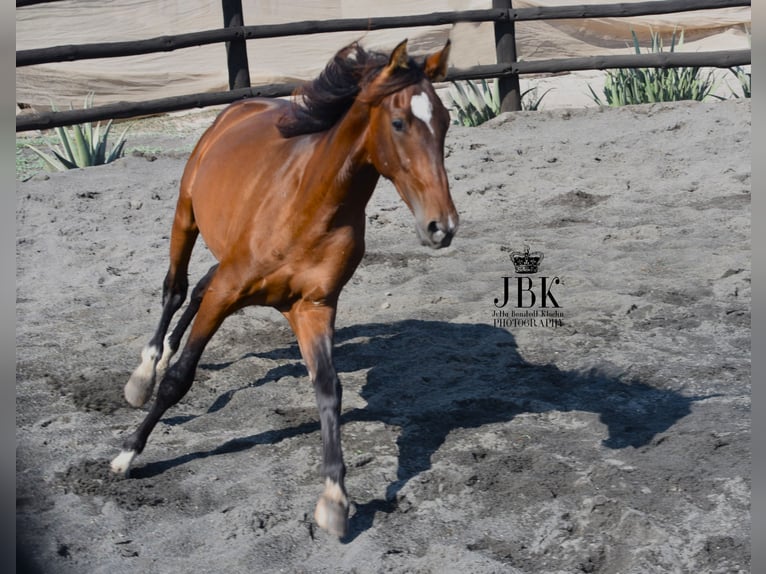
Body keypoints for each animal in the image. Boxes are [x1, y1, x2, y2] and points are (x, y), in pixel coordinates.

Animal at [110, 40, 460, 540]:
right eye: (398, 123)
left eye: (446, 120)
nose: (441, 227)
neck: (308, 205)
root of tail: (239, 107)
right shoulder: (228, 293)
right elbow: (179, 378)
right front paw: (127, 453)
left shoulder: (313, 307)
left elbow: (329, 391)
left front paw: (334, 500)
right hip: (186, 215)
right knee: (176, 289)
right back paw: (143, 374)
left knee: (197, 286)